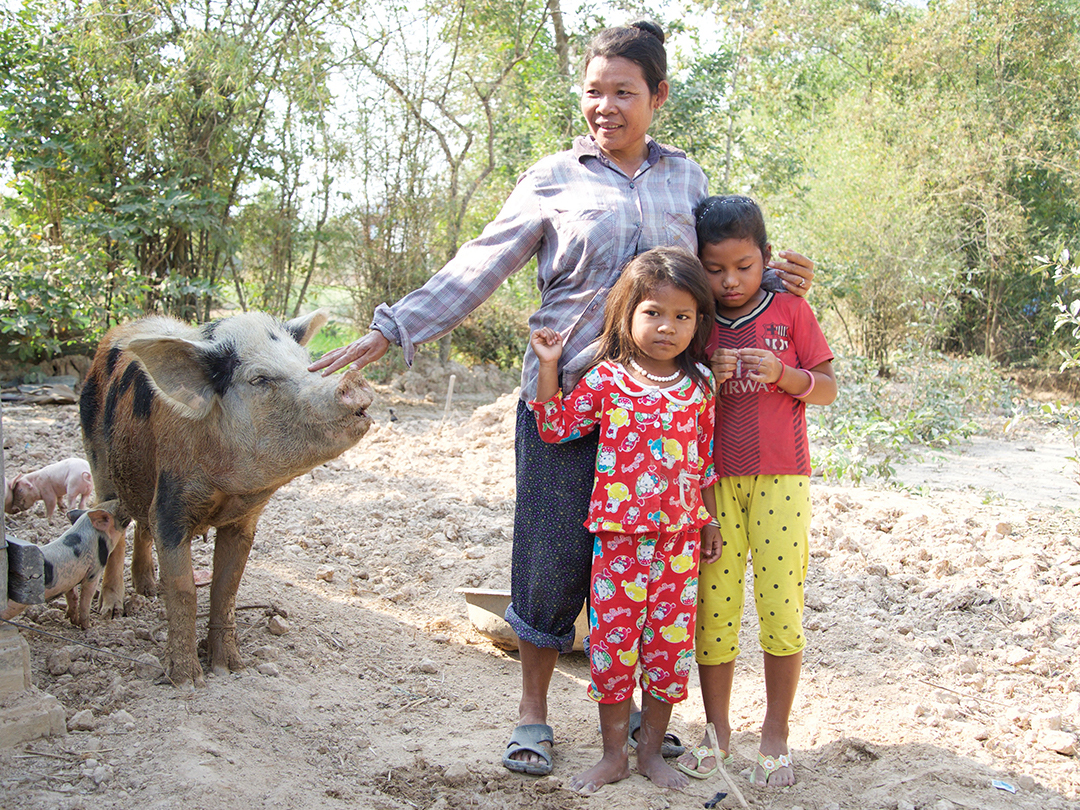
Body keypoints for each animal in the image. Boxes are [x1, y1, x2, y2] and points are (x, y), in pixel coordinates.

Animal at [79, 311, 375, 686]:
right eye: (259, 378)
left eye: (305, 362)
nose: (353, 377)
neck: (224, 486)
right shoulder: (170, 505)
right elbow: (184, 590)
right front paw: (187, 681)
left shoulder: (243, 519)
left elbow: (226, 588)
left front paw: (230, 668)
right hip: (99, 459)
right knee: (114, 525)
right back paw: (112, 611)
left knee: (141, 524)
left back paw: (148, 590)